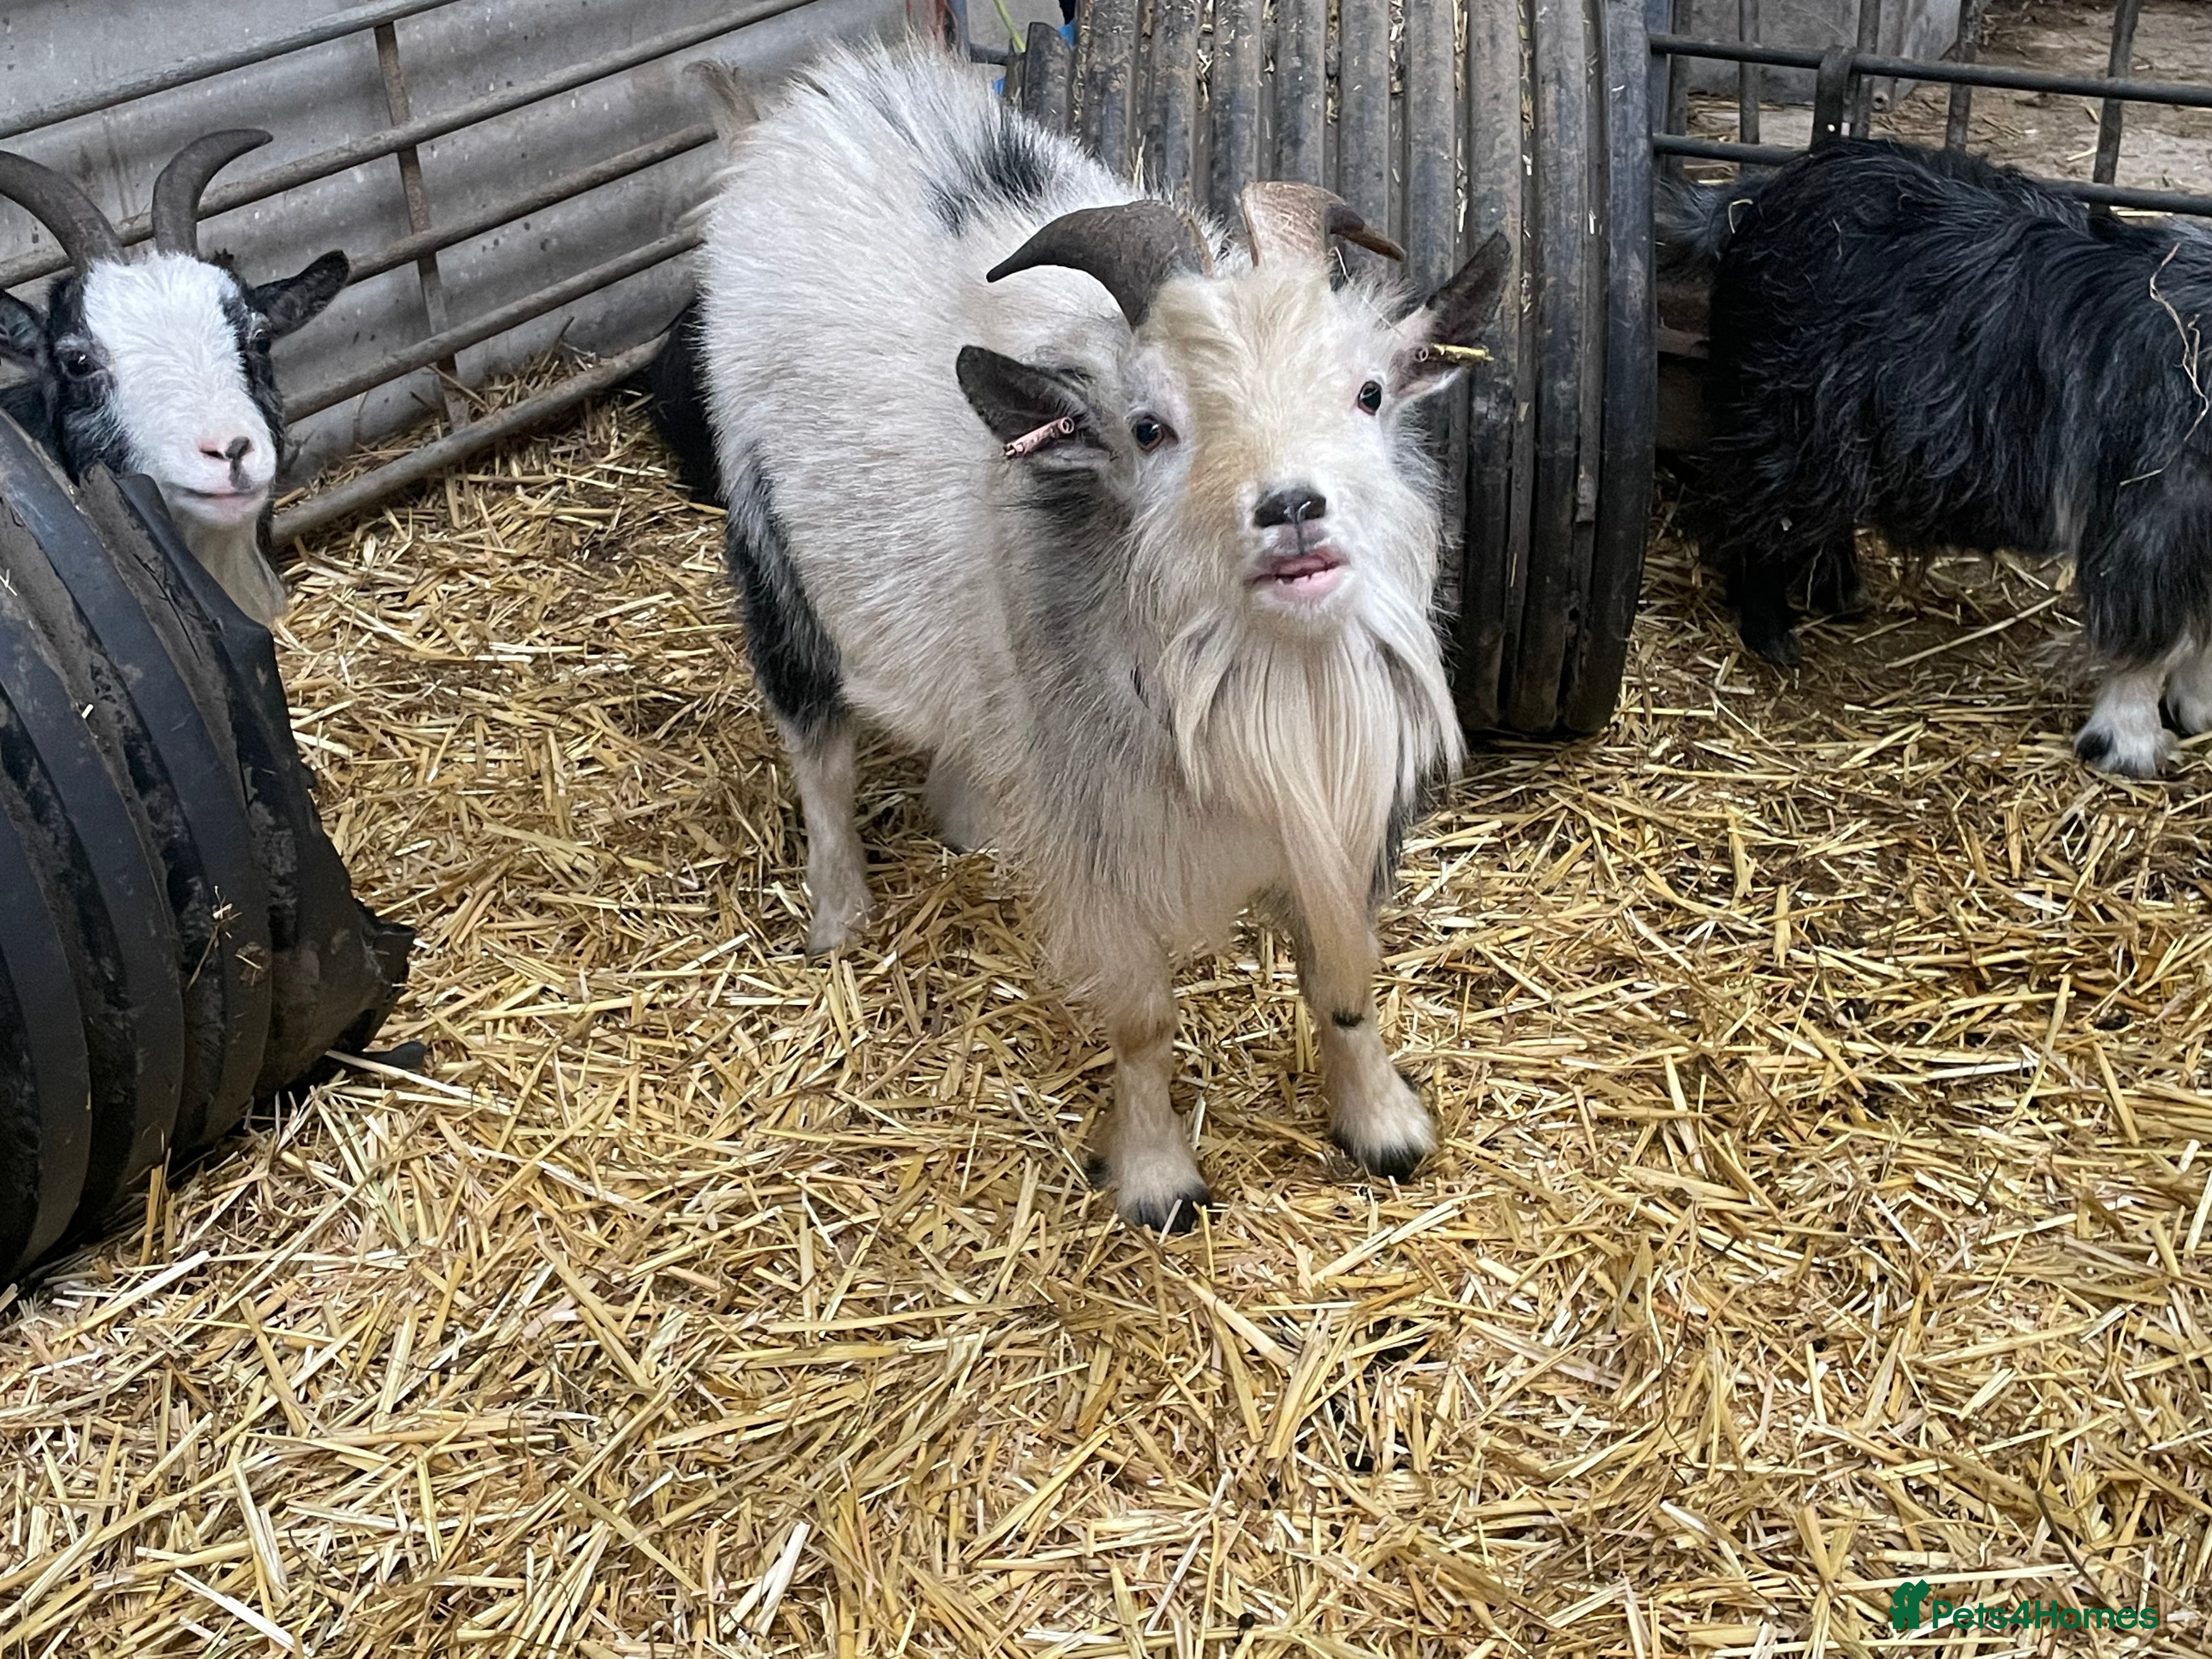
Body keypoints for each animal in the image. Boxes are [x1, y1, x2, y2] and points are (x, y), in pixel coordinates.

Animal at [696, 43, 1507, 1229]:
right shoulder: (1103, 841)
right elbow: (1141, 1020)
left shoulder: (1338, 813)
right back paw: (838, 913)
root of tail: (809, 107)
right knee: (818, 747)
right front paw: (1160, 1180)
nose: (1291, 508)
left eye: (1367, 393)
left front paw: (1384, 1126)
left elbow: (1340, 982)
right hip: (771, 553)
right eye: (1150, 428)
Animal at [1662, 138, 2212, 777]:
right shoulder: (2151, 516)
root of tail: (1761, 197)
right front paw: (2130, 743)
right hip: (1785, 418)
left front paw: (2198, 709)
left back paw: (1838, 591)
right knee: (1754, 517)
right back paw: (1771, 633)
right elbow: (2157, 639)